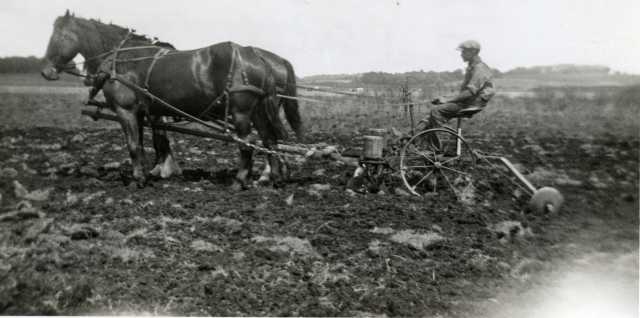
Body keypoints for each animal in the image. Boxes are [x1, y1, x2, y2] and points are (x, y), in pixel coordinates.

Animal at [41, 10, 304, 189]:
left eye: (59, 36)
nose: (46, 72)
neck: (121, 60)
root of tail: (257, 57)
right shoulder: (143, 112)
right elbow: (147, 143)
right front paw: (151, 173)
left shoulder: (126, 111)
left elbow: (134, 145)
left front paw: (139, 179)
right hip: (258, 110)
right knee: (269, 140)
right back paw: (274, 178)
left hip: (241, 111)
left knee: (247, 143)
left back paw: (241, 181)